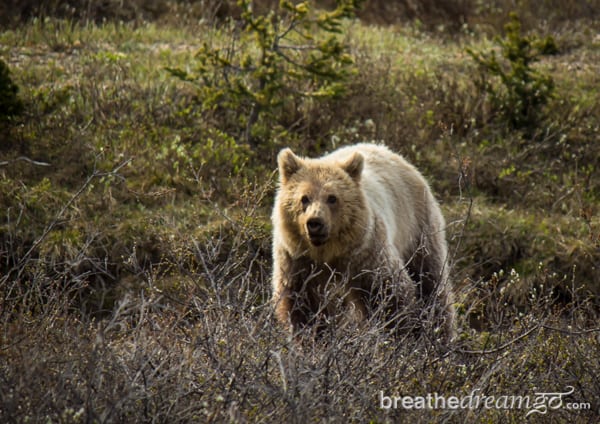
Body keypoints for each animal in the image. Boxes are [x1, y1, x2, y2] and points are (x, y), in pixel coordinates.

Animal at [270, 144, 452, 340]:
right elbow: (305, 306)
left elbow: (390, 294)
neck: (329, 253)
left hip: (418, 230)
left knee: (431, 281)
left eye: (332, 197)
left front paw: (403, 333)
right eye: (304, 198)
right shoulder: (298, 262)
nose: (315, 223)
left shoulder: (366, 256)